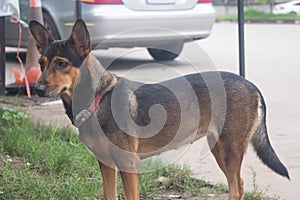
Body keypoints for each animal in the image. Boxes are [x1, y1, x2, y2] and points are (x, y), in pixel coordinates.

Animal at [29, 19, 288, 200]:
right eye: (41, 63)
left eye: (62, 64)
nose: (38, 89)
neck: (98, 98)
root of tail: (249, 83)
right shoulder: (106, 164)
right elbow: (109, 195)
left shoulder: (128, 164)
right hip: (219, 147)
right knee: (238, 185)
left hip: (230, 149)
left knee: (236, 186)